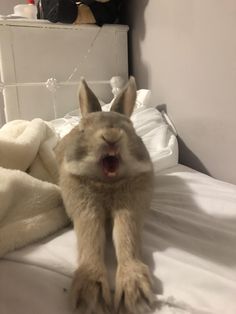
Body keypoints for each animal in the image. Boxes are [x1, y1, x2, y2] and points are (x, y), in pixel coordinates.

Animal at [54, 76, 156, 314]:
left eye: (131, 129)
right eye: (83, 130)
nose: (111, 137)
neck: (108, 184)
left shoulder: (130, 208)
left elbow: (125, 235)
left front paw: (135, 294)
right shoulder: (85, 209)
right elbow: (90, 238)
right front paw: (91, 298)